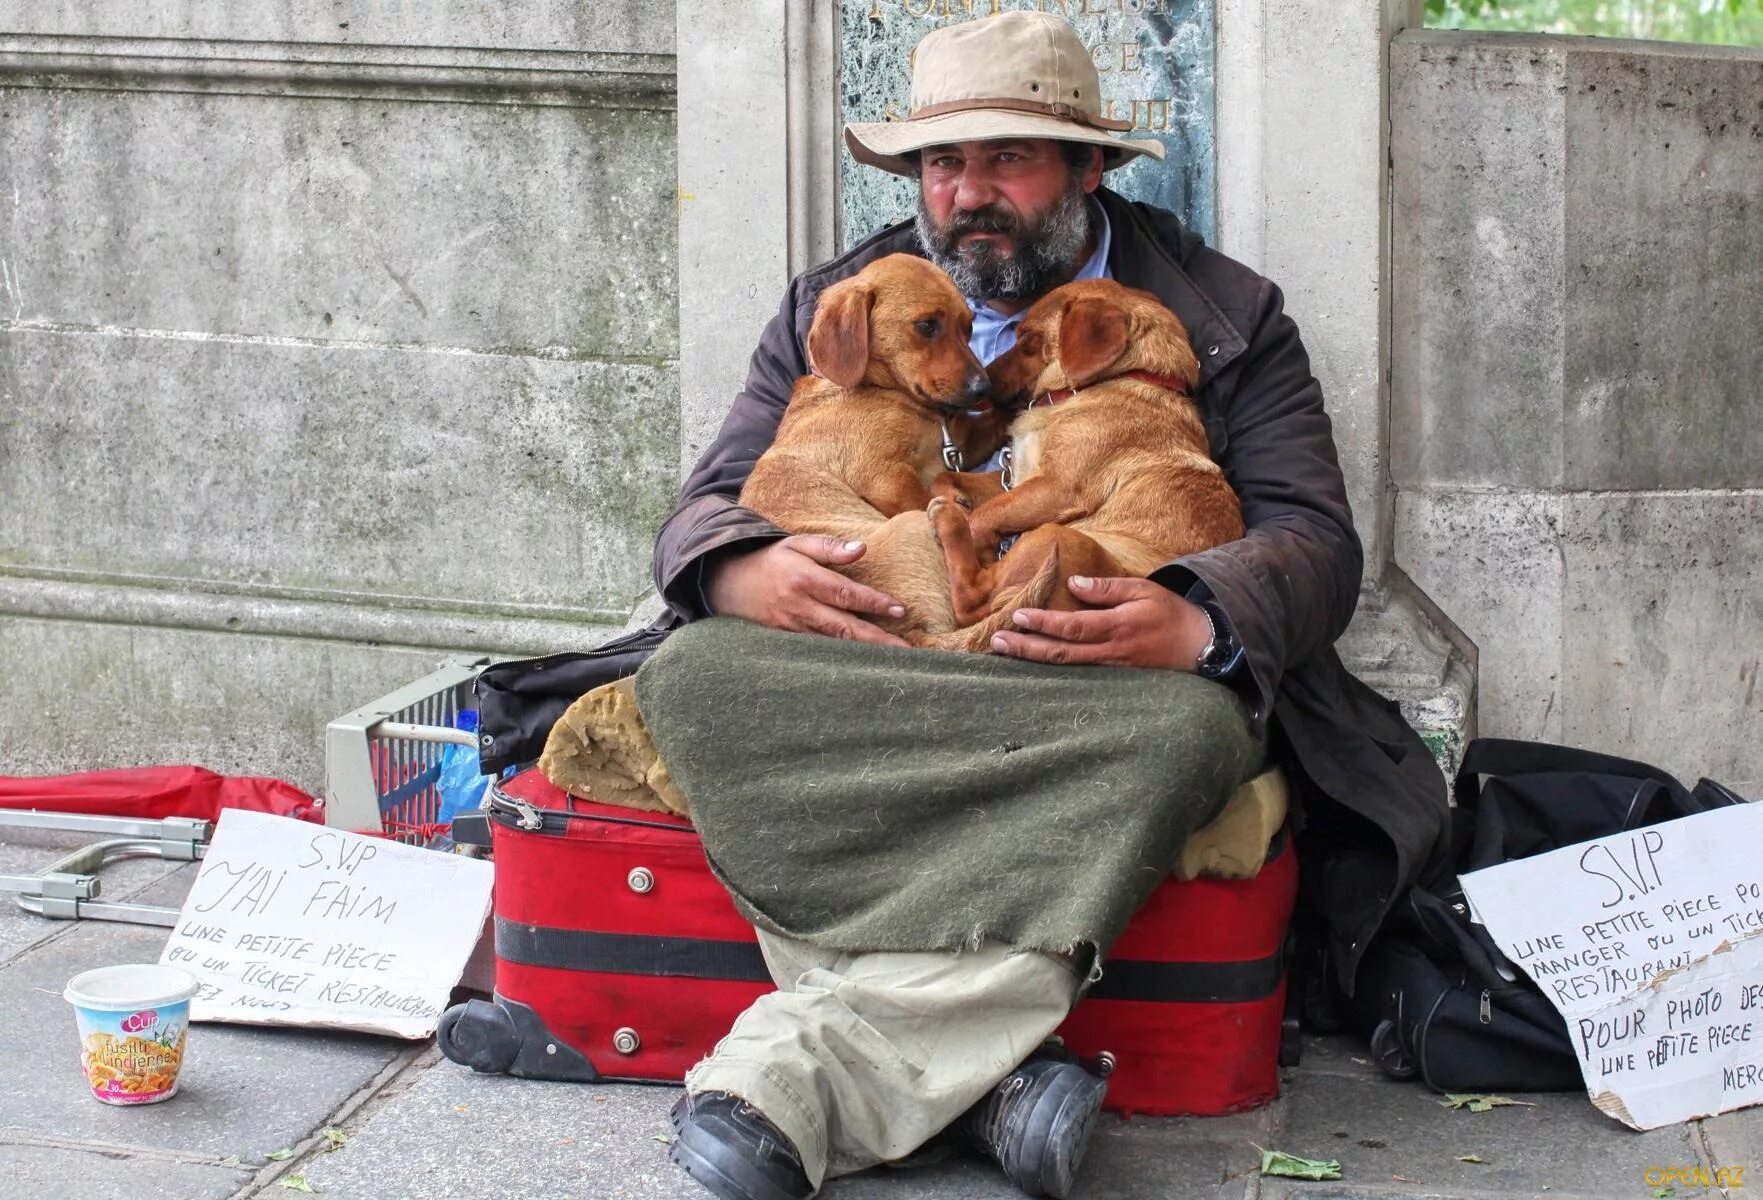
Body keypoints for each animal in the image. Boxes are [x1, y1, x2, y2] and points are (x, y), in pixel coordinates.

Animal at [733, 255, 1008, 644]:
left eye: (968, 327)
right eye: (927, 326)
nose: (983, 388)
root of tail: (916, 633)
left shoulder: (958, 445)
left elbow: (994, 421)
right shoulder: (888, 478)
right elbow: (924, 493)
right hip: (912, 523)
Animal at [923, 276, 1241, 651]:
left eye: (1027, 340)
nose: (982, 383)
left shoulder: (1056, 487)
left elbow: (983, 517)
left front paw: (970, 524)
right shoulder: (1019, 478)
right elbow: (947, 479)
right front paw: (956, 496)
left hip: (1057, 537)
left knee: (972, 600)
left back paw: (951, 523)